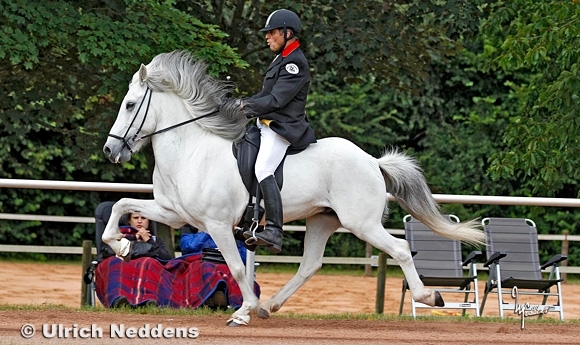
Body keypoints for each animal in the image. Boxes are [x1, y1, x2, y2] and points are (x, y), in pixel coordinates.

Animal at [101, 49, 484, 324]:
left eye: (130, 104)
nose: (109, 150)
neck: (191, 149)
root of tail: (373, 162)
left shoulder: (217, 224)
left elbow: (236, 267)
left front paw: (243, 311)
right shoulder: (174, 214)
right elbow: (121, 205)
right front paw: (123, 246)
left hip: (362, 223)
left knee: (401, 249)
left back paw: (429, 296)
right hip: (322, 220)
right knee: (310, 265)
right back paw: (269, 306)